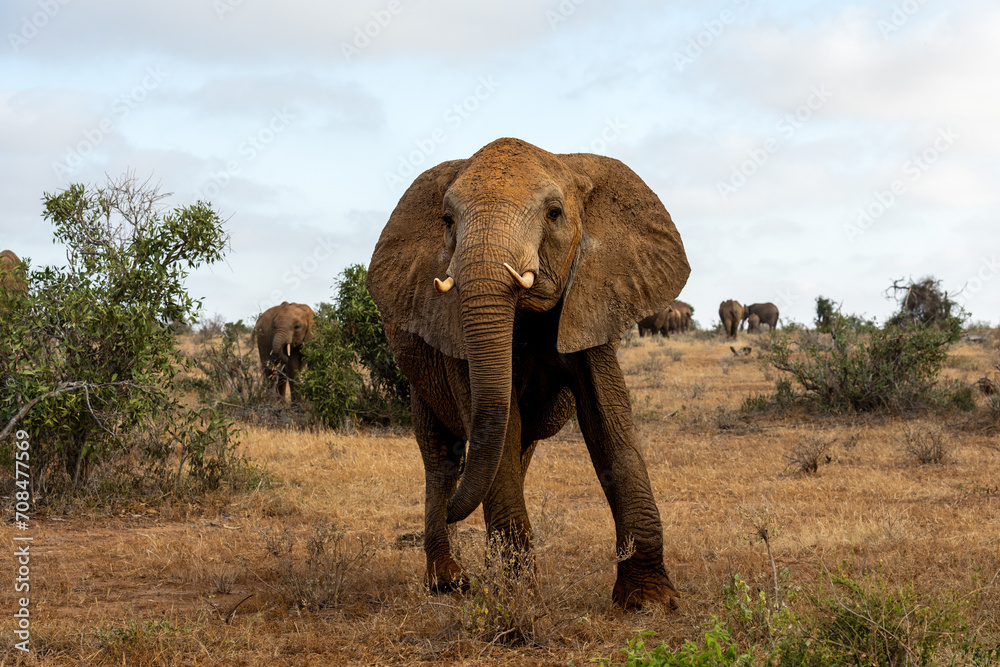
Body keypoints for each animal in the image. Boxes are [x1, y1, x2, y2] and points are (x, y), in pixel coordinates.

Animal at [367, 138, 690, 610]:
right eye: (447, 220)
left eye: (554, 213)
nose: (451, 513)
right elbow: (494, 428)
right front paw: (520, 602)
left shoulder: (592, 294)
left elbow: (608, 422)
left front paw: (648, 601)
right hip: (418, 380)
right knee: (443, 458)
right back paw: (450, 581)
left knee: (513, 450)